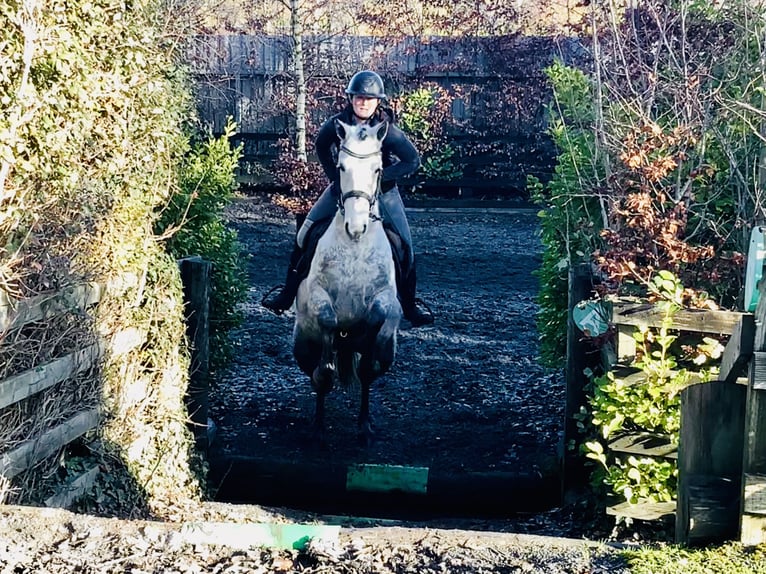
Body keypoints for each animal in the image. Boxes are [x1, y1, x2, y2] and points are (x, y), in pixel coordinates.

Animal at [293, 119, 401, 445]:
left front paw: (364, 426)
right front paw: (318, 428)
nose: (356, 226)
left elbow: (376, 317)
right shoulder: (316, 293)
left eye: (378, 170)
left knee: (371, 372)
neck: (355, 246)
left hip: (388, 351)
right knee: (314, 373)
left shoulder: (385, 295)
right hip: (302, 343)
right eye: (341, 167)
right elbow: (328, 325)